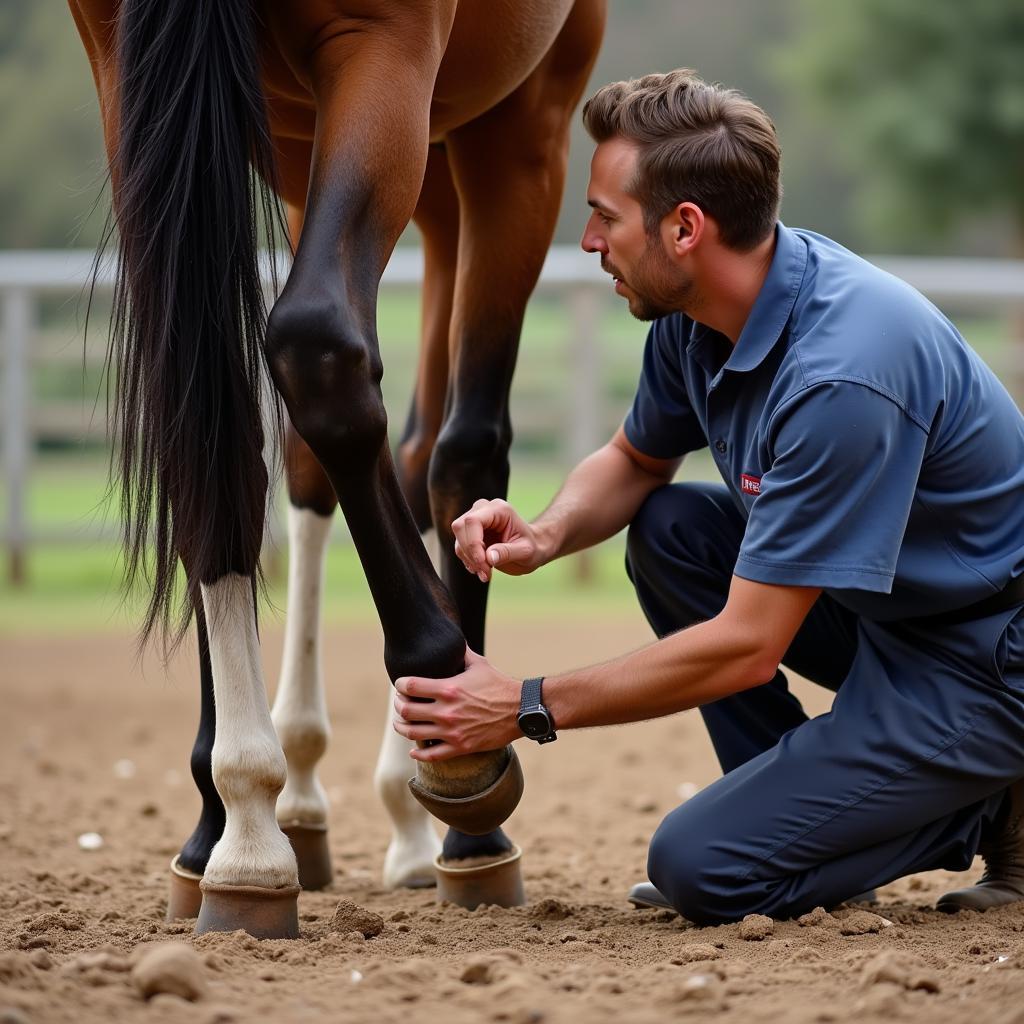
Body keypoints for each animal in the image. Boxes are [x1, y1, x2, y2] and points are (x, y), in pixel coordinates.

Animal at [70, 0, 606, 937]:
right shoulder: (524, 112)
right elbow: (443, 436)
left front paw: (246, 814)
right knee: (356, 402)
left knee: (335, 443)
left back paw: (298, 816)